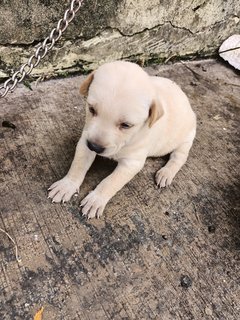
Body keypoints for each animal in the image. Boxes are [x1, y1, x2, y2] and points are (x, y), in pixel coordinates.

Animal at [47, 61, 196, 219]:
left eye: (126, 125)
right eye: (91, 109)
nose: (95, 147)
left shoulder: (132, 163)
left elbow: (111, 182)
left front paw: (96, 200)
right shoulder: (85, 141)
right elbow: (78, 165)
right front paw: (66, 185)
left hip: (187, 138)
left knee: (178, 157)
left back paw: (166, 173)